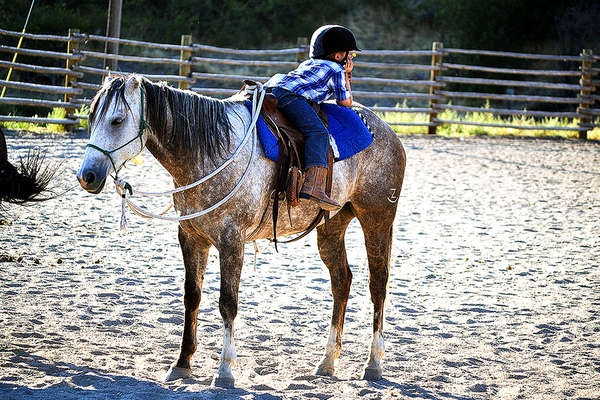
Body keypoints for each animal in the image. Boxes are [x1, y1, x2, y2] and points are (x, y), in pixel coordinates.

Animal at [75, 73, 404, 386]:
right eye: (91, 117)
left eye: (117, 120)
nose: (86, 176)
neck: (210, 153)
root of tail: (388, 132)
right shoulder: (191, 237)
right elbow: (191, 297)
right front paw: (181, 364)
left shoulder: (232, 240)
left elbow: (227, 303)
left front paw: (224, 371)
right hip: (332, 226)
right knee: (341, 281)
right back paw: (327, 362)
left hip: (376, 218)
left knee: (378, 285)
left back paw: (373, 363)